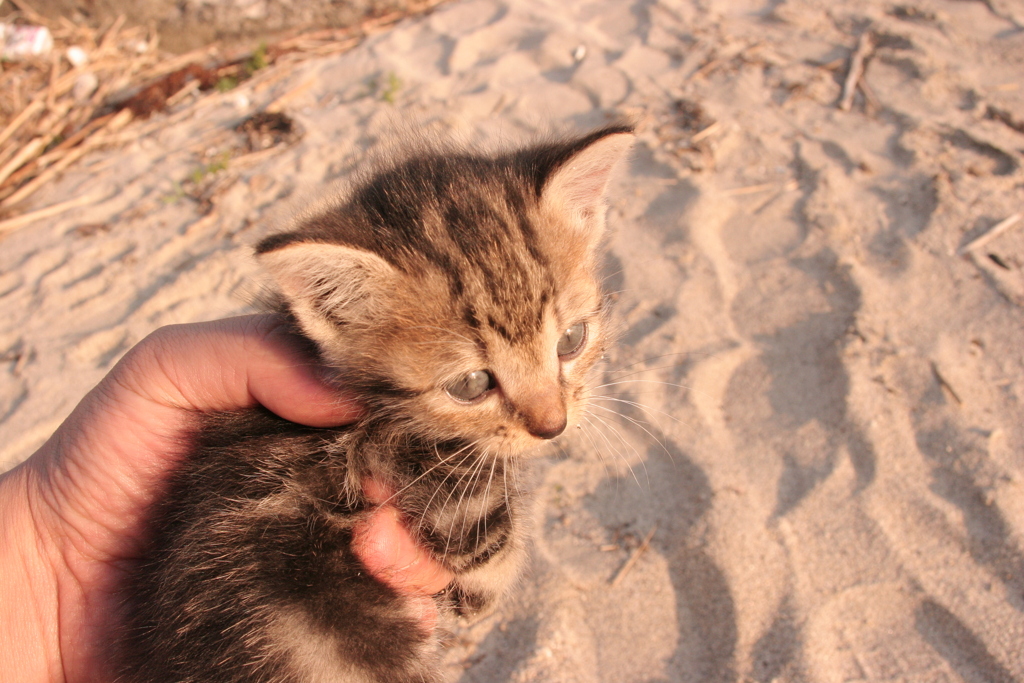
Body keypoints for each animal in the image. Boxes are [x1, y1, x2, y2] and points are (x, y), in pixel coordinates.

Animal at [117, 125, 630, 683]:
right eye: (472, 385)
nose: (553, 426)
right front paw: (483, 592)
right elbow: (487, 545)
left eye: (571, 341)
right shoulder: (431, 478)